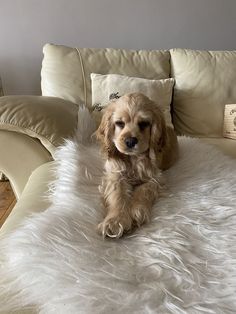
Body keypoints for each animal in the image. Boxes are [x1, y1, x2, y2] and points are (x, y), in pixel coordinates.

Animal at [95, 92, 178, 238]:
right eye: (119, 123)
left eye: (144, 123)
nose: (130, 141)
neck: (133, 159)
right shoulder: (115, 175)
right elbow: (117, 195)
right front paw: (114, 222)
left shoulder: (155, 178)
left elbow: (143, 191)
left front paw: (136, 213)